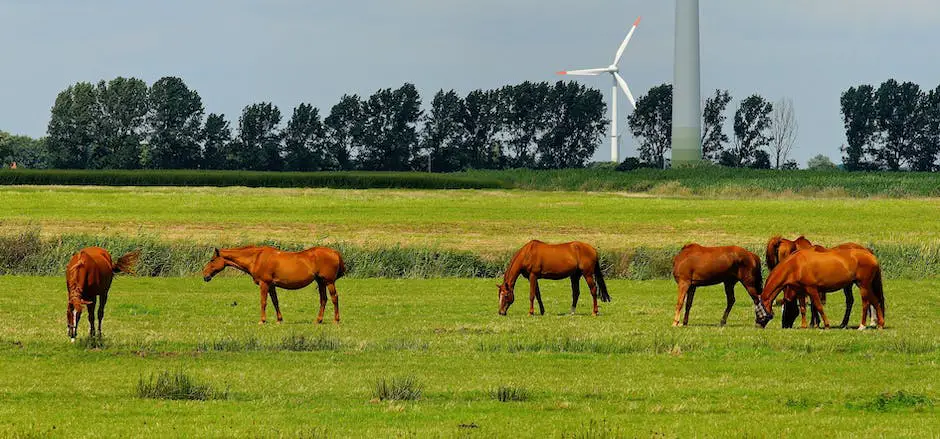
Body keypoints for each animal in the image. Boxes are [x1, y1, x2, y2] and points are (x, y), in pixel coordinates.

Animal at [201, 248, 346, 324]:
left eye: (212, 260)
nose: (205, 275)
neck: (256, 258)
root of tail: (334, 252)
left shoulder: (264, 284)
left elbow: (263, 302)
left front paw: (262, 320)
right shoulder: (271, 286)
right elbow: (275, 302)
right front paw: (279, 319)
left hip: (329, 282)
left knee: (334, 298)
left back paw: (336, 320)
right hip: (320, 282)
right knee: (323, 299)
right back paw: (318, 320)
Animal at [752, 248, 884, 330]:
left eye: (758, 311)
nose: (757, 325)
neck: (795, 265)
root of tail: (872, 256)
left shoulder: (812, 289)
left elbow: (819, 306)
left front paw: (826, 325)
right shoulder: (800, 291)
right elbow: (803, 308)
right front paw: (804, 326)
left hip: (863, 286)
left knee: (866, 303)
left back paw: (862, 326)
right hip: (865, 286)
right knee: (876, 301)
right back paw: (880, 324)